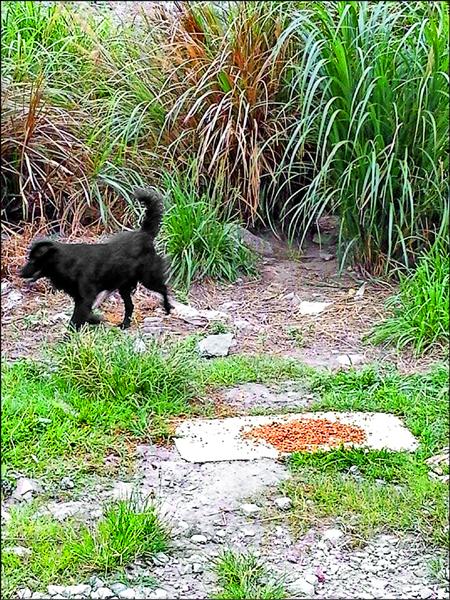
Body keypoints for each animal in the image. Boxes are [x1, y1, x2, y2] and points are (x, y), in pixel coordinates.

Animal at [19, 189, 171, 330]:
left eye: (33, 260)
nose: (19, 273)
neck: (66, 261)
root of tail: (144, 233)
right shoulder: (80, 299)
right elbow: (86, 314)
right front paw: (95, 320)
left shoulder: (85, 298)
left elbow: (76, 319)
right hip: (124, 286)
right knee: (130, 305)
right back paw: (125, 324)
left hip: (148, 278)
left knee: (163, 288)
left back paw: (168, 308)